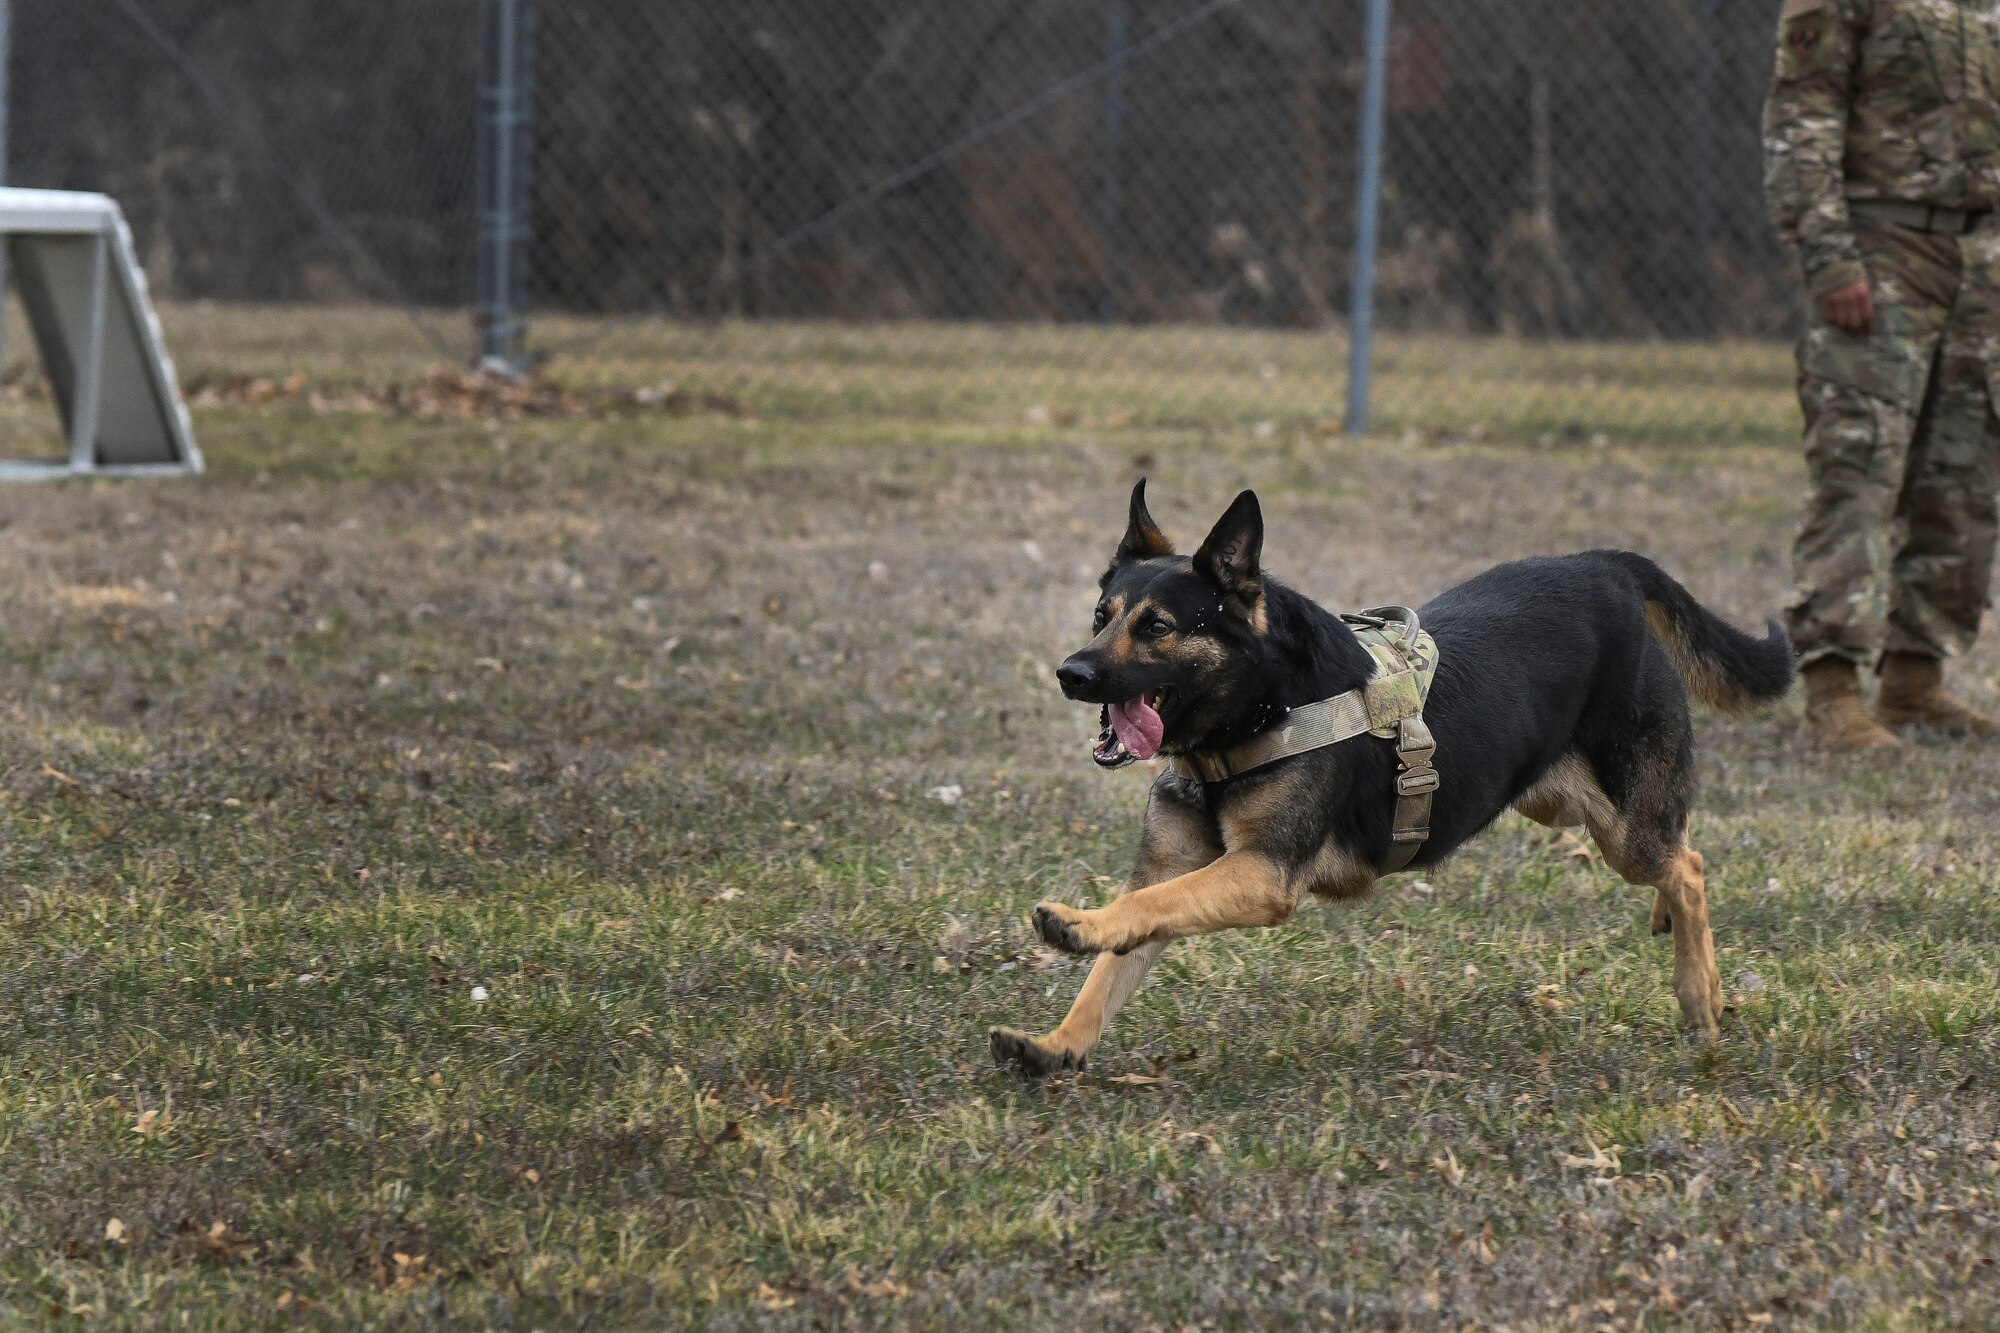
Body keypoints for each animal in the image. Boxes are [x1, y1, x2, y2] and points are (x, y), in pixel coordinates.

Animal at [992, 482, 1792, 1072]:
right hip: (1566, 804)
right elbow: (1122, 954)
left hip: (1623, 827)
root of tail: (1608, 567)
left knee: (1688, 864)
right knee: (1680, 849)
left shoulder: (1262, 873)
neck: (1254, 711)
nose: (1071, 674)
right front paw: (1058, 1044)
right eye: (1101, 615)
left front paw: (1077, 923)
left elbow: (1145, 906)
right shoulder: (1176, 866)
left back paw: (1700, 996)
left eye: (1157, 627)